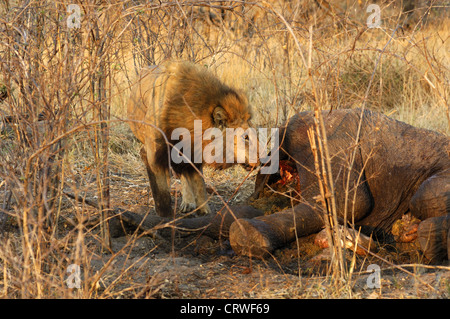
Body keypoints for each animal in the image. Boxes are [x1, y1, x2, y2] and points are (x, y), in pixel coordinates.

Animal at [126, 61, 256, 219]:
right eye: (246, 137)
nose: (263, 159)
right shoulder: (152, 154)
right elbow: (162, 191)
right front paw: (165, 216)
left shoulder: (195, 153)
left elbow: (198, 183)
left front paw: (204, 211)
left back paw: (188, 203)